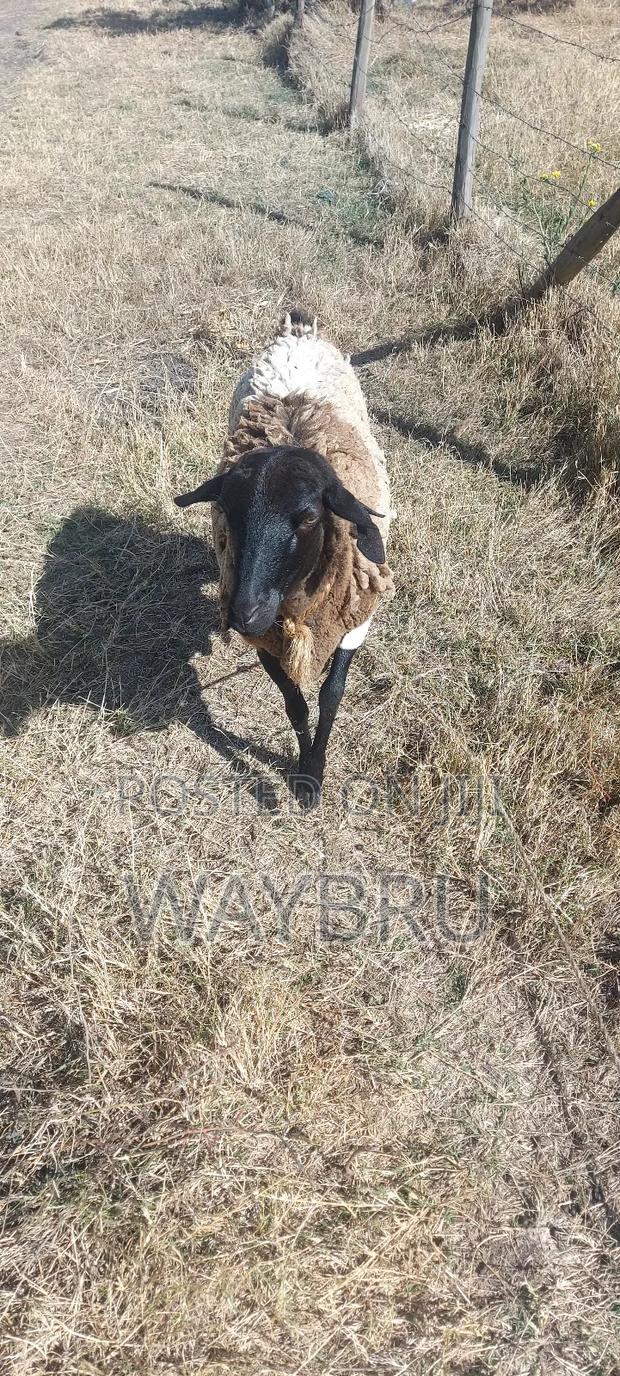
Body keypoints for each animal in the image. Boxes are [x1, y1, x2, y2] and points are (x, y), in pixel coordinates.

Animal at [175, 311, 394, 808]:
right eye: (224, 510)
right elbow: (295, 703)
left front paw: (314, 770)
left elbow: (332, 694)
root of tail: (297, 330)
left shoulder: (356, 619)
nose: (243, 613)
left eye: (310, 517)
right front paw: (302, 775)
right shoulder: (266, 640)